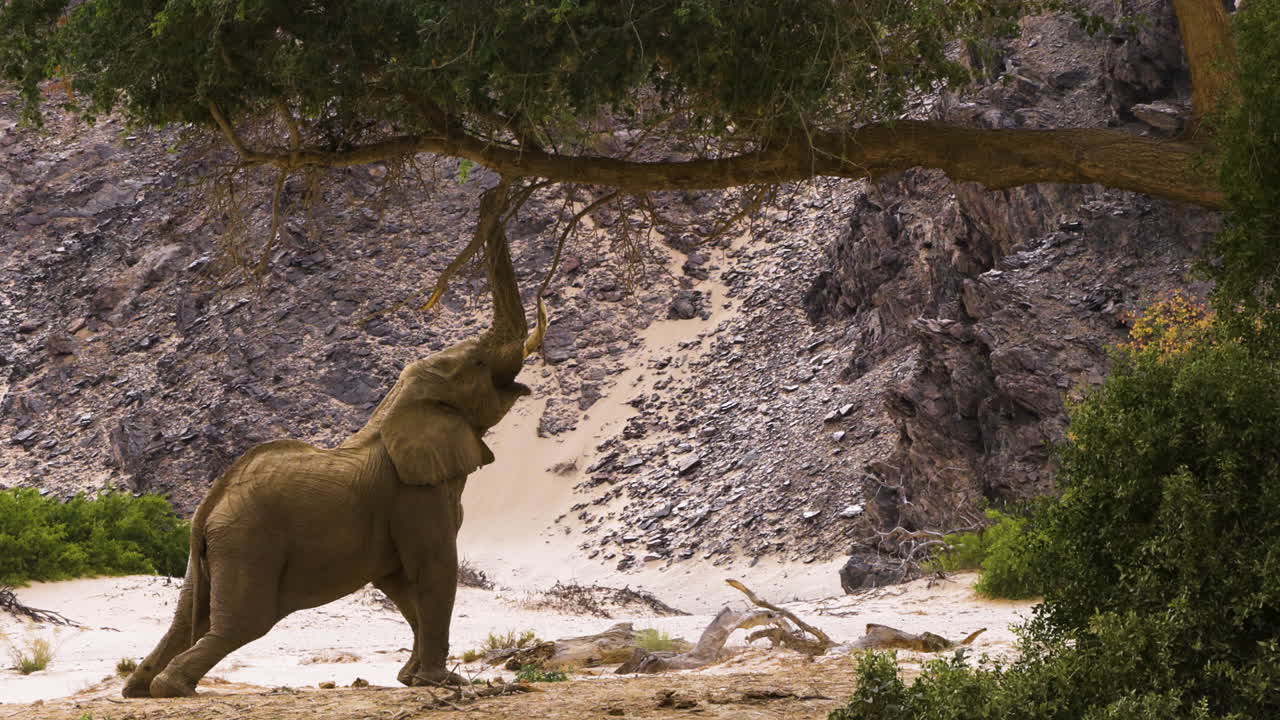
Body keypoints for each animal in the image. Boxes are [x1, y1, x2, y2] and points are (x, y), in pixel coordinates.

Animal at [123, 184, 545, 698]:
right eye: (480, 364)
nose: (489, 193)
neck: (397, 404)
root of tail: (211, 502)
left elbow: (400, 585)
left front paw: (411, 679)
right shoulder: (413, 495)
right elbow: (433, 570)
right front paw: (438, 682)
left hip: (209, 549)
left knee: (188, 616)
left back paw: (138, 689)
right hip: (248, 540)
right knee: (242, 622)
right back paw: (171, 688)